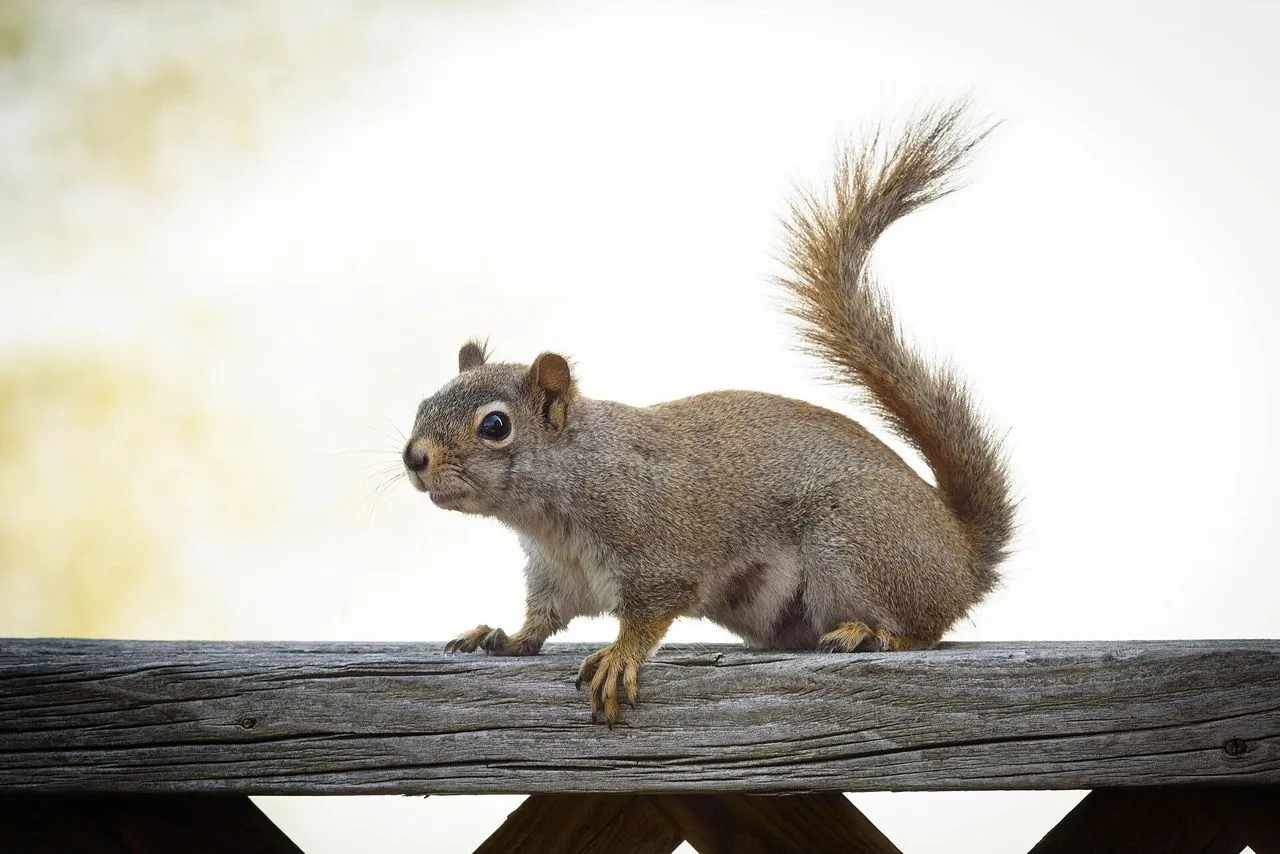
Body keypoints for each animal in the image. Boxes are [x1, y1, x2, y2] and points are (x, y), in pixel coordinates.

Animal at [402, 102, 1015, 725]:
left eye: (495, 425)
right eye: (424, 404)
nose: (413, 458)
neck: (550, 512)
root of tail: (964, 557)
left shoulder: (660, 551)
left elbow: (648, 615)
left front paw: (619, 657)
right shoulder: (555, 575)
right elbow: (540, 621)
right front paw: (499, 636)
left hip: (855, 542)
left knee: (921, 628)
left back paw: (870, 634)